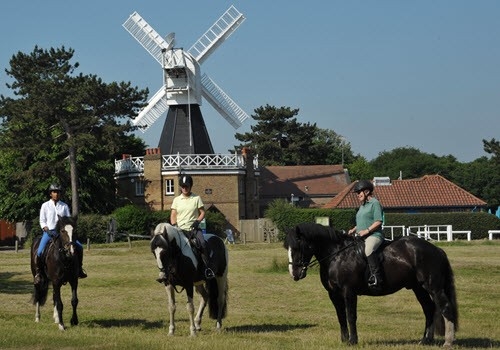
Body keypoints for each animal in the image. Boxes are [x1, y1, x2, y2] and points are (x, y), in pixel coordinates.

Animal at [284, 223, 458, 346]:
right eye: (287, 248)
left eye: (298, 247)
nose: (294, 274)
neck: (337, 255)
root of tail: (437, 250)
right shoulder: (333, 294)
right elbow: (341, 317)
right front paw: (343, 340)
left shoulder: (349, 292)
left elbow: (350, 316)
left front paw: (352, 341)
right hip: (418, 288)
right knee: (429, 309)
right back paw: (426, 340)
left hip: (433, 287)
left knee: (445, 307)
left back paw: (448, 342)